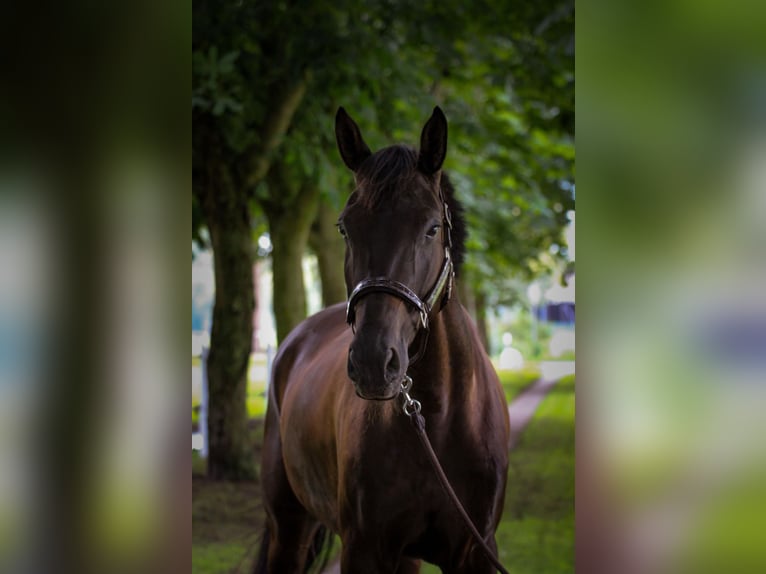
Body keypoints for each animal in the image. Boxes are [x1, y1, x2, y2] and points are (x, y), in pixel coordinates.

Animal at [255, 106, 512, 572]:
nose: (374, 363)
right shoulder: (364, 549)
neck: (436, 421)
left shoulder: (476, 551)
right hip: (289, 530)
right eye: (344, 228)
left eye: (432, 228)